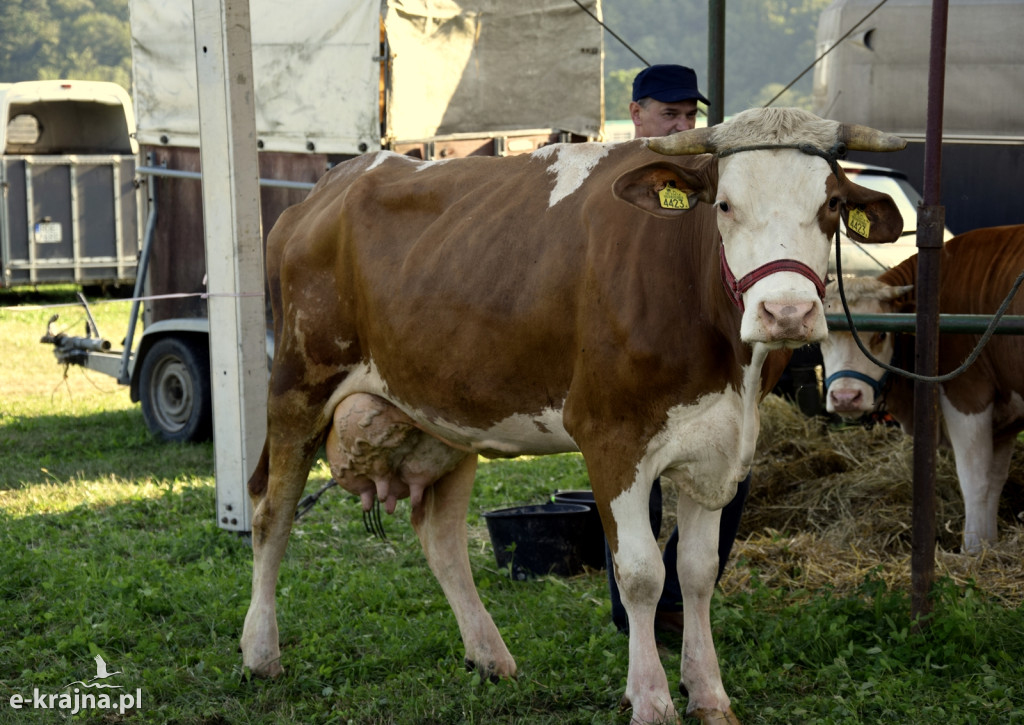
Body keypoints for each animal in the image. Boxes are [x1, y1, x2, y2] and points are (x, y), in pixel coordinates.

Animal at [239, 109, 905, 724]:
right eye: (723, 204)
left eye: (831, 204)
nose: (786, 313)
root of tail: (331, 184)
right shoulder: (612, 438)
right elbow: (641, 574)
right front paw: (652, 700)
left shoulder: (717, 447)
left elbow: (697, 571)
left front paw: (710, 695)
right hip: (297, 385)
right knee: (272, 515)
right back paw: (260, 652)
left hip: (445, 414)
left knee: (441, 536)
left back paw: (489, 654)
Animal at [823, 226, 1024, 557]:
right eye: (824, 336)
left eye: (882, 333)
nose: (845, 398)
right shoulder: (1005, 415)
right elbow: (995, 480)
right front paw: (989, 546)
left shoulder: (966, 395)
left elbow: (974, 481)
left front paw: (971, 552)